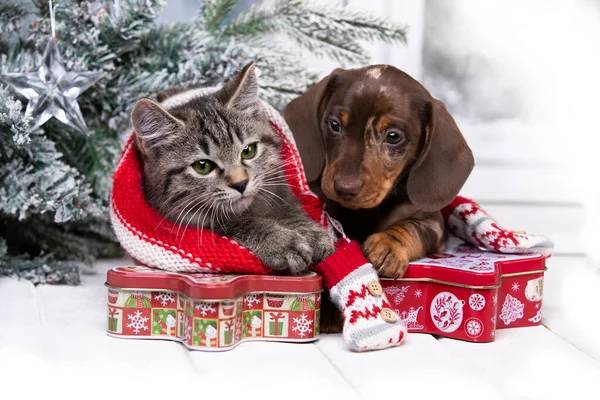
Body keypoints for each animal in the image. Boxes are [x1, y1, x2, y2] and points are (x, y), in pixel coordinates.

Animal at [131, 61, 336, 276]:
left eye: (248, 151)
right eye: (202, 166)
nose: (241, 183)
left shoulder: (279, 188)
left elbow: (288, 208)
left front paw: (310, 232)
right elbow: (239, 223)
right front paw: (281, 241)